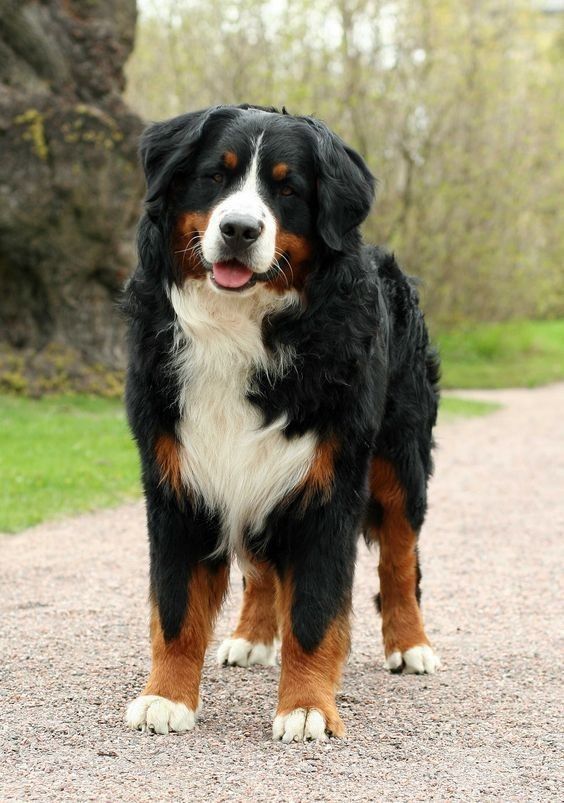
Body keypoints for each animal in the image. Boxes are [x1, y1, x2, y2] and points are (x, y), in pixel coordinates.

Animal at [123, 103, 440, 744]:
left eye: (287, 188)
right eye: (214, 177)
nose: (240, 229)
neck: (238, 328)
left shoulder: (327, 487)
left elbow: (315, 614)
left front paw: (307, 708)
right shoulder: (178, 479)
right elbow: (175, 607)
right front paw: (166, 698)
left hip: (400, 460)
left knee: (400, 557)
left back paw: (410, 645)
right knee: (264, 568)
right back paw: (250, 638)